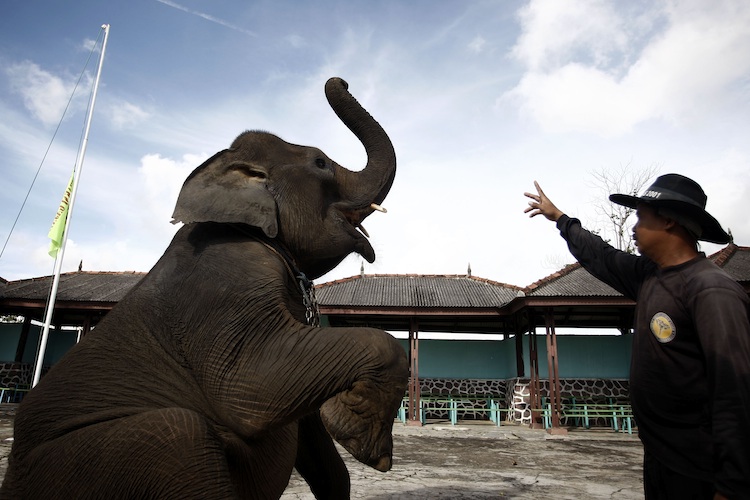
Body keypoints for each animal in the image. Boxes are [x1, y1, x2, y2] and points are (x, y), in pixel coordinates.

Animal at [1, 78, 412, 500]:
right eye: (320, 163)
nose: (338, 81)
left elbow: (320, 448)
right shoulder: (223, 288)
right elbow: (253, 390)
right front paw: (364, 443)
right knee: (183, 434)